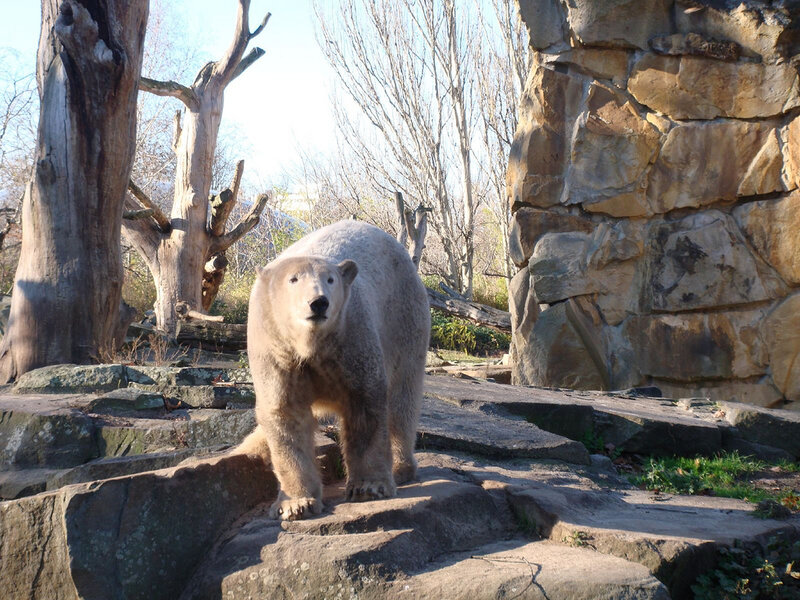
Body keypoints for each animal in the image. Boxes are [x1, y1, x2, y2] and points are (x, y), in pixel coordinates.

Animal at [236, 220, 430, 520]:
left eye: (330, 280)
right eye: (293, 280)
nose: (318, 302)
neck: (309, 344)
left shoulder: (350, 336)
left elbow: (365, 404)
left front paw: (368, 487)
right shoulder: (275, 349)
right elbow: (284, 413)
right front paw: (296, 504)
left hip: (405, 319)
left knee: (402, 398)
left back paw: (401, 468)